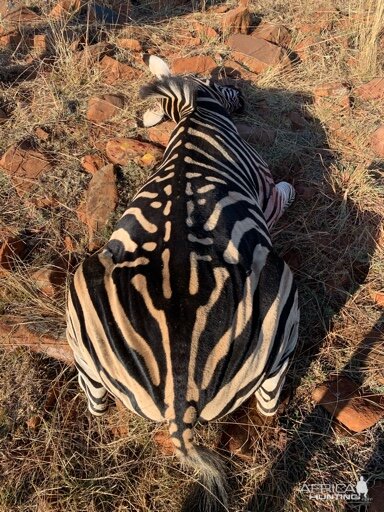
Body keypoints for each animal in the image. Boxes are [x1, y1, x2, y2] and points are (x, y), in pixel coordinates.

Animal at [67, 56, 300, 512]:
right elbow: (284, 190)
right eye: (222, 80)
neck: (194, 114)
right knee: (268, 405)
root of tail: (180, 397)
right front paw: (293, 186)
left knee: (96, 403)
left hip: (81, 299)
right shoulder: (266, 193)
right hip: (282, 301)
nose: (243, 98)